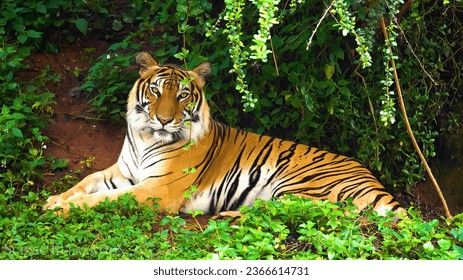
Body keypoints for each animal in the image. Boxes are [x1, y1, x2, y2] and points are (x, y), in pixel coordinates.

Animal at [44, 51, 406, 217]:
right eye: (157, 91)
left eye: (183, 95)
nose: (163, 120)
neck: (147, 136)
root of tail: (376, 183)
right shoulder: (124, 170)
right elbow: (88, 181)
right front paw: (56, 198)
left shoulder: (158, 189)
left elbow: (106, 198)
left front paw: (64, 206)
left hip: (300, 184)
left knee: (293, 211)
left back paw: (227, 215)